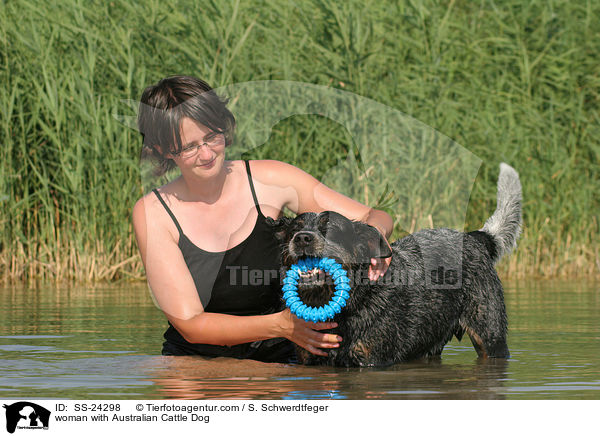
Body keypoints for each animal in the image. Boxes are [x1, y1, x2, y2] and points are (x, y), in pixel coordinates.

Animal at [270, 162, 524, 366]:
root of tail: (474, 237)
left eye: (330, 229)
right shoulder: (308, 359)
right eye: (294, 229)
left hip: (490, 337)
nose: (302, 238)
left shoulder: (372, 360)